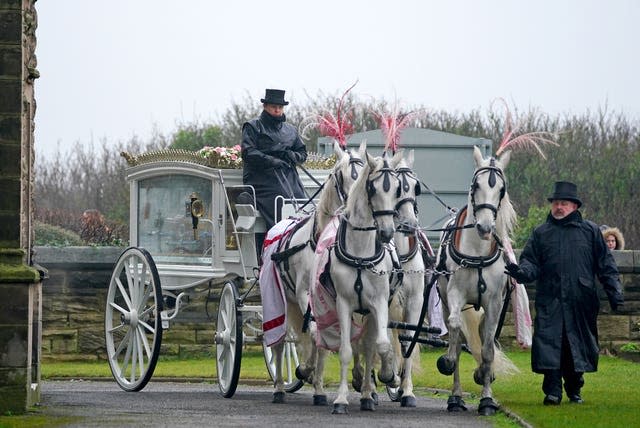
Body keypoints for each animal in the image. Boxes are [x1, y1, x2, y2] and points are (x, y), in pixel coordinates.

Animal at [266, 140, 364, 404]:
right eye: (342, 176)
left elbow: (324, 340)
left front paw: (321, 382)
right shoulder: (303, 295)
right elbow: (311, 334)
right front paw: (304, 370)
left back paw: (317, 388)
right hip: (279, 300)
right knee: (280, 342)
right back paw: (279, 388)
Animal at [436, 146, 520, 414]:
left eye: (501, 189)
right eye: (475, 185)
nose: (484, 227)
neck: (477, 252)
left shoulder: (494, 303)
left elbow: (488, 349)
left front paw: (486, 396)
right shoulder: (455, 295)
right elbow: (455, 330)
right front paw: (448, 361)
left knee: (484, 336)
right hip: (446, 302)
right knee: (457, 334)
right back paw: (455, 397)